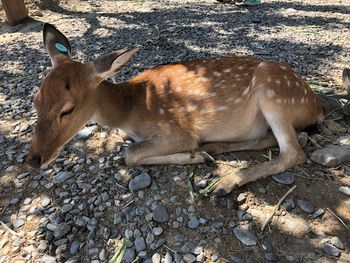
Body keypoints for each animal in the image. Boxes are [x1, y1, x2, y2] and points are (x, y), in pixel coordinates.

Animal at [28, 24, 326, 196]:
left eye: (68, 109)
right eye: (36, 99)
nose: (33, 158)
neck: (130, 111)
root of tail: (317, 106)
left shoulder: (178, 132)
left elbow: (130, 155)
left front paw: (193, 157)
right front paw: (199, 156)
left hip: (274, 92)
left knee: (293, 152)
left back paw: (222, 183)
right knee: (270, 139)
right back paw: (213, 151)